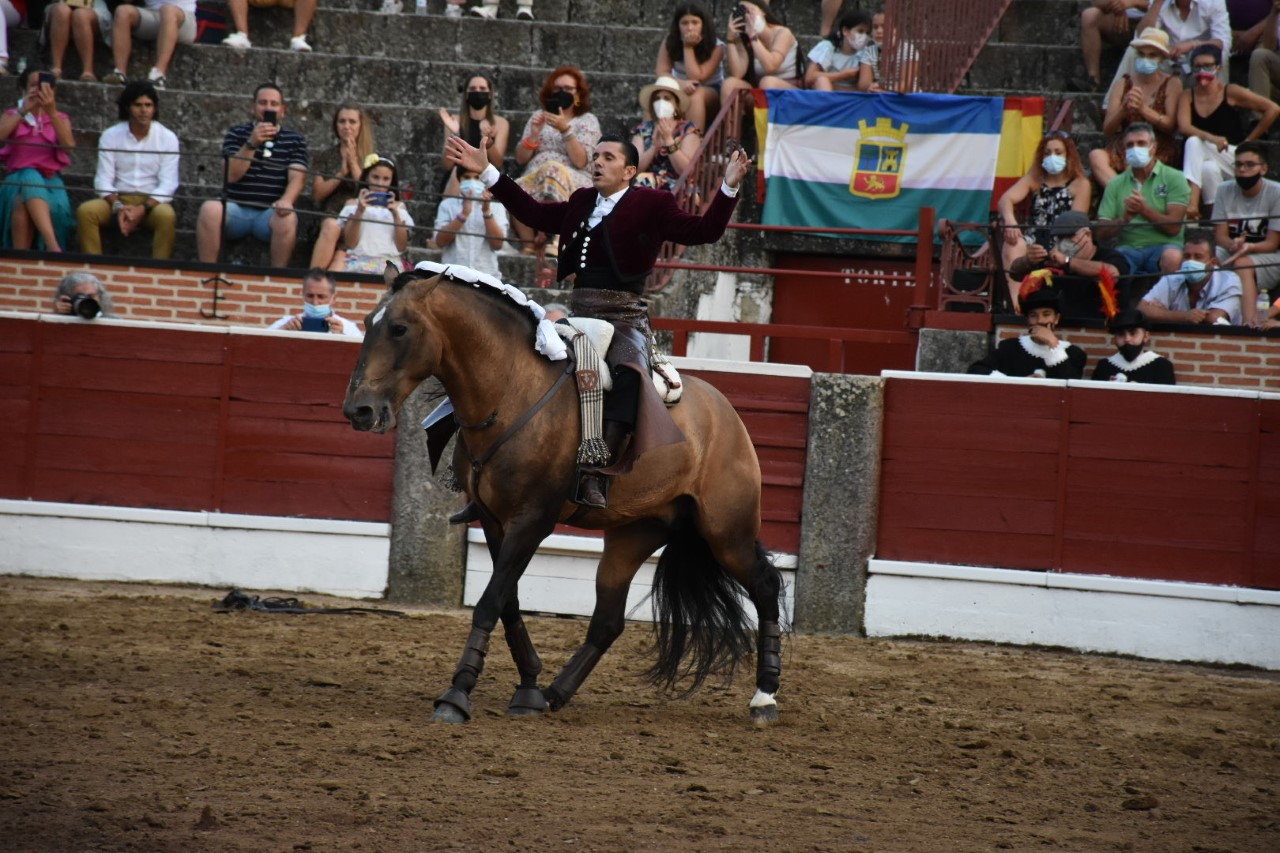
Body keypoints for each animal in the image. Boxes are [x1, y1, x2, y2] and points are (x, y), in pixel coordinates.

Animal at [342, 266, 784, 725]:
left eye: (399, 328)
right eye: (369, 323)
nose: (359, 410)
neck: (511, 391)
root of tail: (727, 415)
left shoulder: (533, 520)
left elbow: (490, 601)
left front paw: (457, 694)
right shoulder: (493, 519)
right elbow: (507, 601)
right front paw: (528, 685)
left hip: (726, 532)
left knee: (766, 584)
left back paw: (765, 696)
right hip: (635, 533)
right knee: (608, 621)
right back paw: (555, 693)